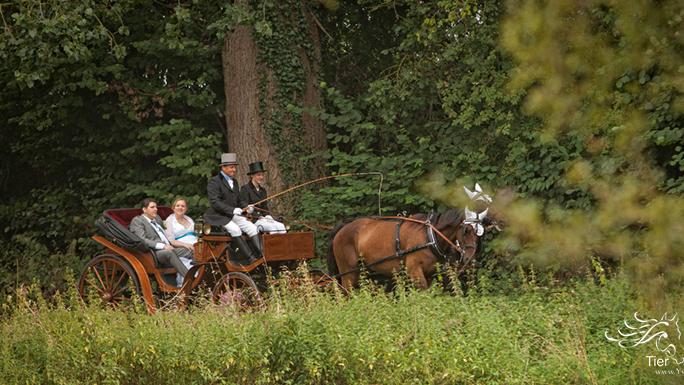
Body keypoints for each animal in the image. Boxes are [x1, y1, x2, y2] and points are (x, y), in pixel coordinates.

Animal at [326, 208, 480, 290]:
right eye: (466, 230)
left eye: (478, 232)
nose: (470, 258)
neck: (428, 235)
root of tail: (343, 227)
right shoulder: (414, 270)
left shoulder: (429, 274)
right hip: (348, 272)